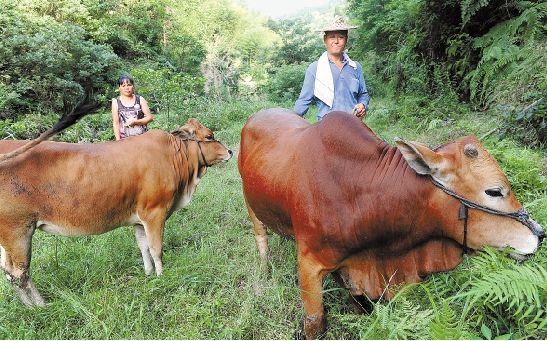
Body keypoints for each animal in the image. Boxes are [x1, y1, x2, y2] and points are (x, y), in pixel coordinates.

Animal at [0, 117, 231, 306]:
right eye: (209, 136)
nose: (230, 152)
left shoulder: (139, 219)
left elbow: (143, 247)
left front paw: (147, 273)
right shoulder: (154, 213)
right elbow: (156, 248)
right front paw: (160, 275)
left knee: (9, 272)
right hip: (18, 230)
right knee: (19, 273)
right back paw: (40, 306)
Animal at [239, 109, 544, 338]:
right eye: (494, 191)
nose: (540, 234)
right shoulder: (309, 264)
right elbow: (315, 323)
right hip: (249, 203)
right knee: (261, 238)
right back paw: (264, 272)